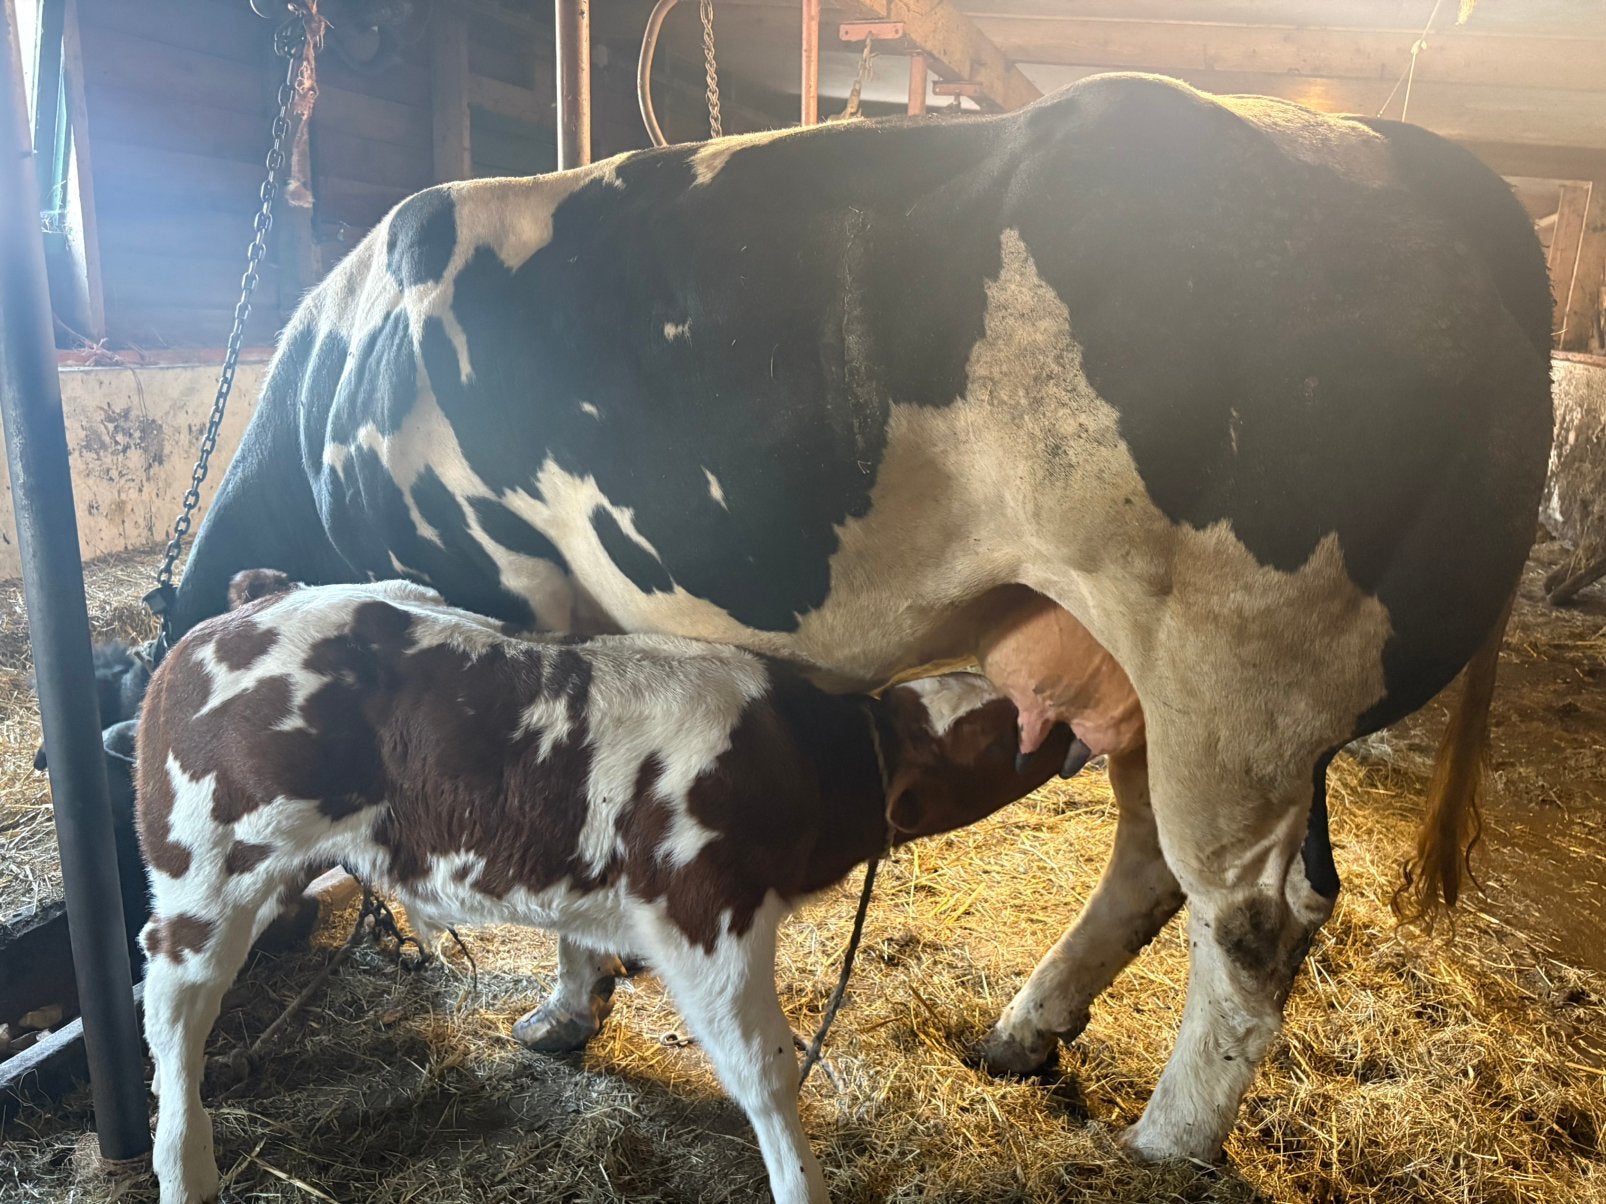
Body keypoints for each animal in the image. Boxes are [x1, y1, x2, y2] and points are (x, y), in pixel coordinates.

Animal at [136, 570, 1074, 1204]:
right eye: (1002, 733)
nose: (1069, 728)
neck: (805, 760)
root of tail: (246, 605)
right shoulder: (708, 916)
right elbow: (767, 1070)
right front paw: (800, 1179)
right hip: (207, 869)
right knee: (175, 1005)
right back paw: (185, 1163)